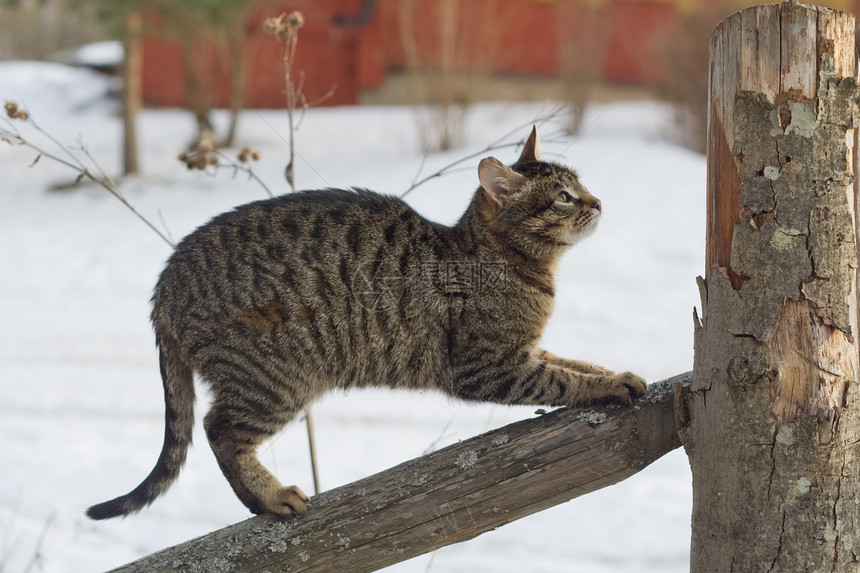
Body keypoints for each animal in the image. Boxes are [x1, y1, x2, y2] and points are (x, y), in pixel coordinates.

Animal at [87, 127, 648, 520]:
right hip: (278, 376)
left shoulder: (525, 351)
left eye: (581, 185)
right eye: (563, 197)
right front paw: (606, 387)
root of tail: (165, 282)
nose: (598, 201)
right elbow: (561, 379)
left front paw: (613, 373)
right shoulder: (487, 367)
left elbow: (572, 362)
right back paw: (270, 498)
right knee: (217, 429)